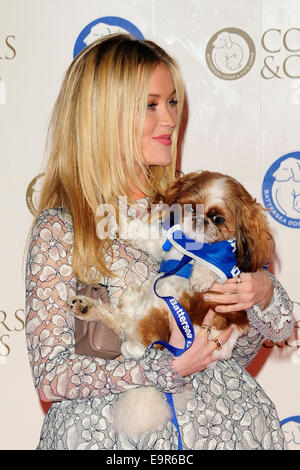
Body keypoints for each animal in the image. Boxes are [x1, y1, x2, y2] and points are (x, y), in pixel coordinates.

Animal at [67, 171, 272, 438]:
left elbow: (213, 265)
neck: (190, 249)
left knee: (130, 333)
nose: (198, 219)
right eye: (191, 206)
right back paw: (93, 306)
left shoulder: (227, 265)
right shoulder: (165, 242)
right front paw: (114, 215)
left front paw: (200, 277)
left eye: (217, 218)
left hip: (159, 311)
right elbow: (138, 231)